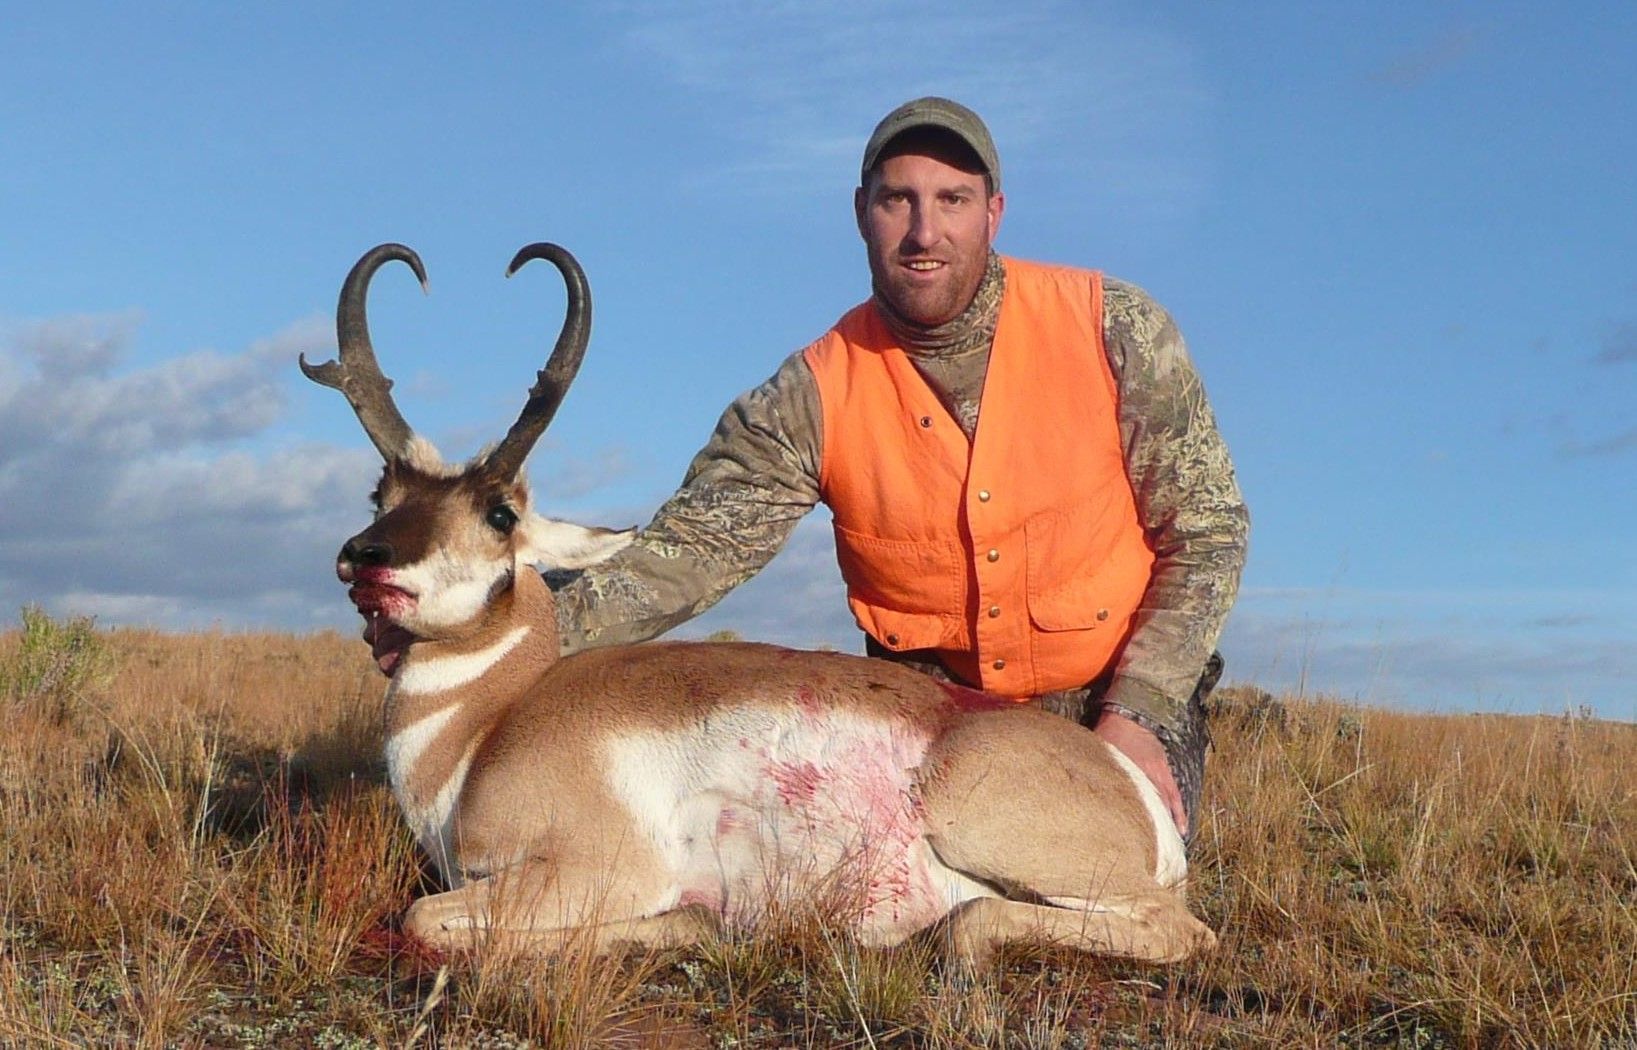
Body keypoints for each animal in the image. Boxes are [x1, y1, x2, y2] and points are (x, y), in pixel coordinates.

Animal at [301, 242, 1217, 966]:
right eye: (381, 493)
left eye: (499, 513)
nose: (363, 559)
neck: (487, 725)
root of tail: (1130, 784)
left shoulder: (593, 869)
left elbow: (422, 917)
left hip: (987, 827)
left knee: (1167, 931)